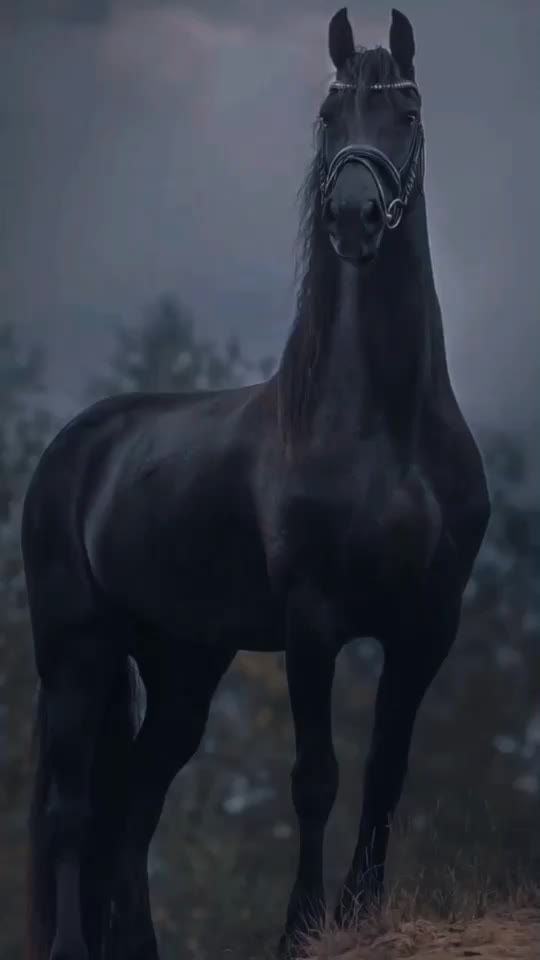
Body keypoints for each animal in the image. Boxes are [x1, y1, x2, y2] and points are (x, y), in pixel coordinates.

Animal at [24, 7, 490, 959]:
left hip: (182, 665)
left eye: (407, 112)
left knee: (131, 811)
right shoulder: (313, 621)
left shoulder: (427, 624)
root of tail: (75, 447)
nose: (353, 219)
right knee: (72, 810)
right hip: (77, 651)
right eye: (329, 116)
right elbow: (316, 775)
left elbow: (387, 771)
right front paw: (301, 928)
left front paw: (361, 914)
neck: (386, 430)